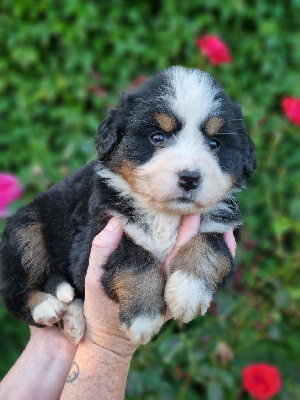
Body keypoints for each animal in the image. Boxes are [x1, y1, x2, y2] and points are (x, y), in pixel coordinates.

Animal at [0, 65, 255, 344]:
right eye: (158, 137)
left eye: (214, 144)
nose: (189, 178)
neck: (164, 214)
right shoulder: (95, 238)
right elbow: (134, 258)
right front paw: (144, 315)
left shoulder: (222, 223)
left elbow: (209, 244)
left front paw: (189, 290)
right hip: (26, 227)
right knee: (15, 290)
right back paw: (47, 308)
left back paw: (71, 320)